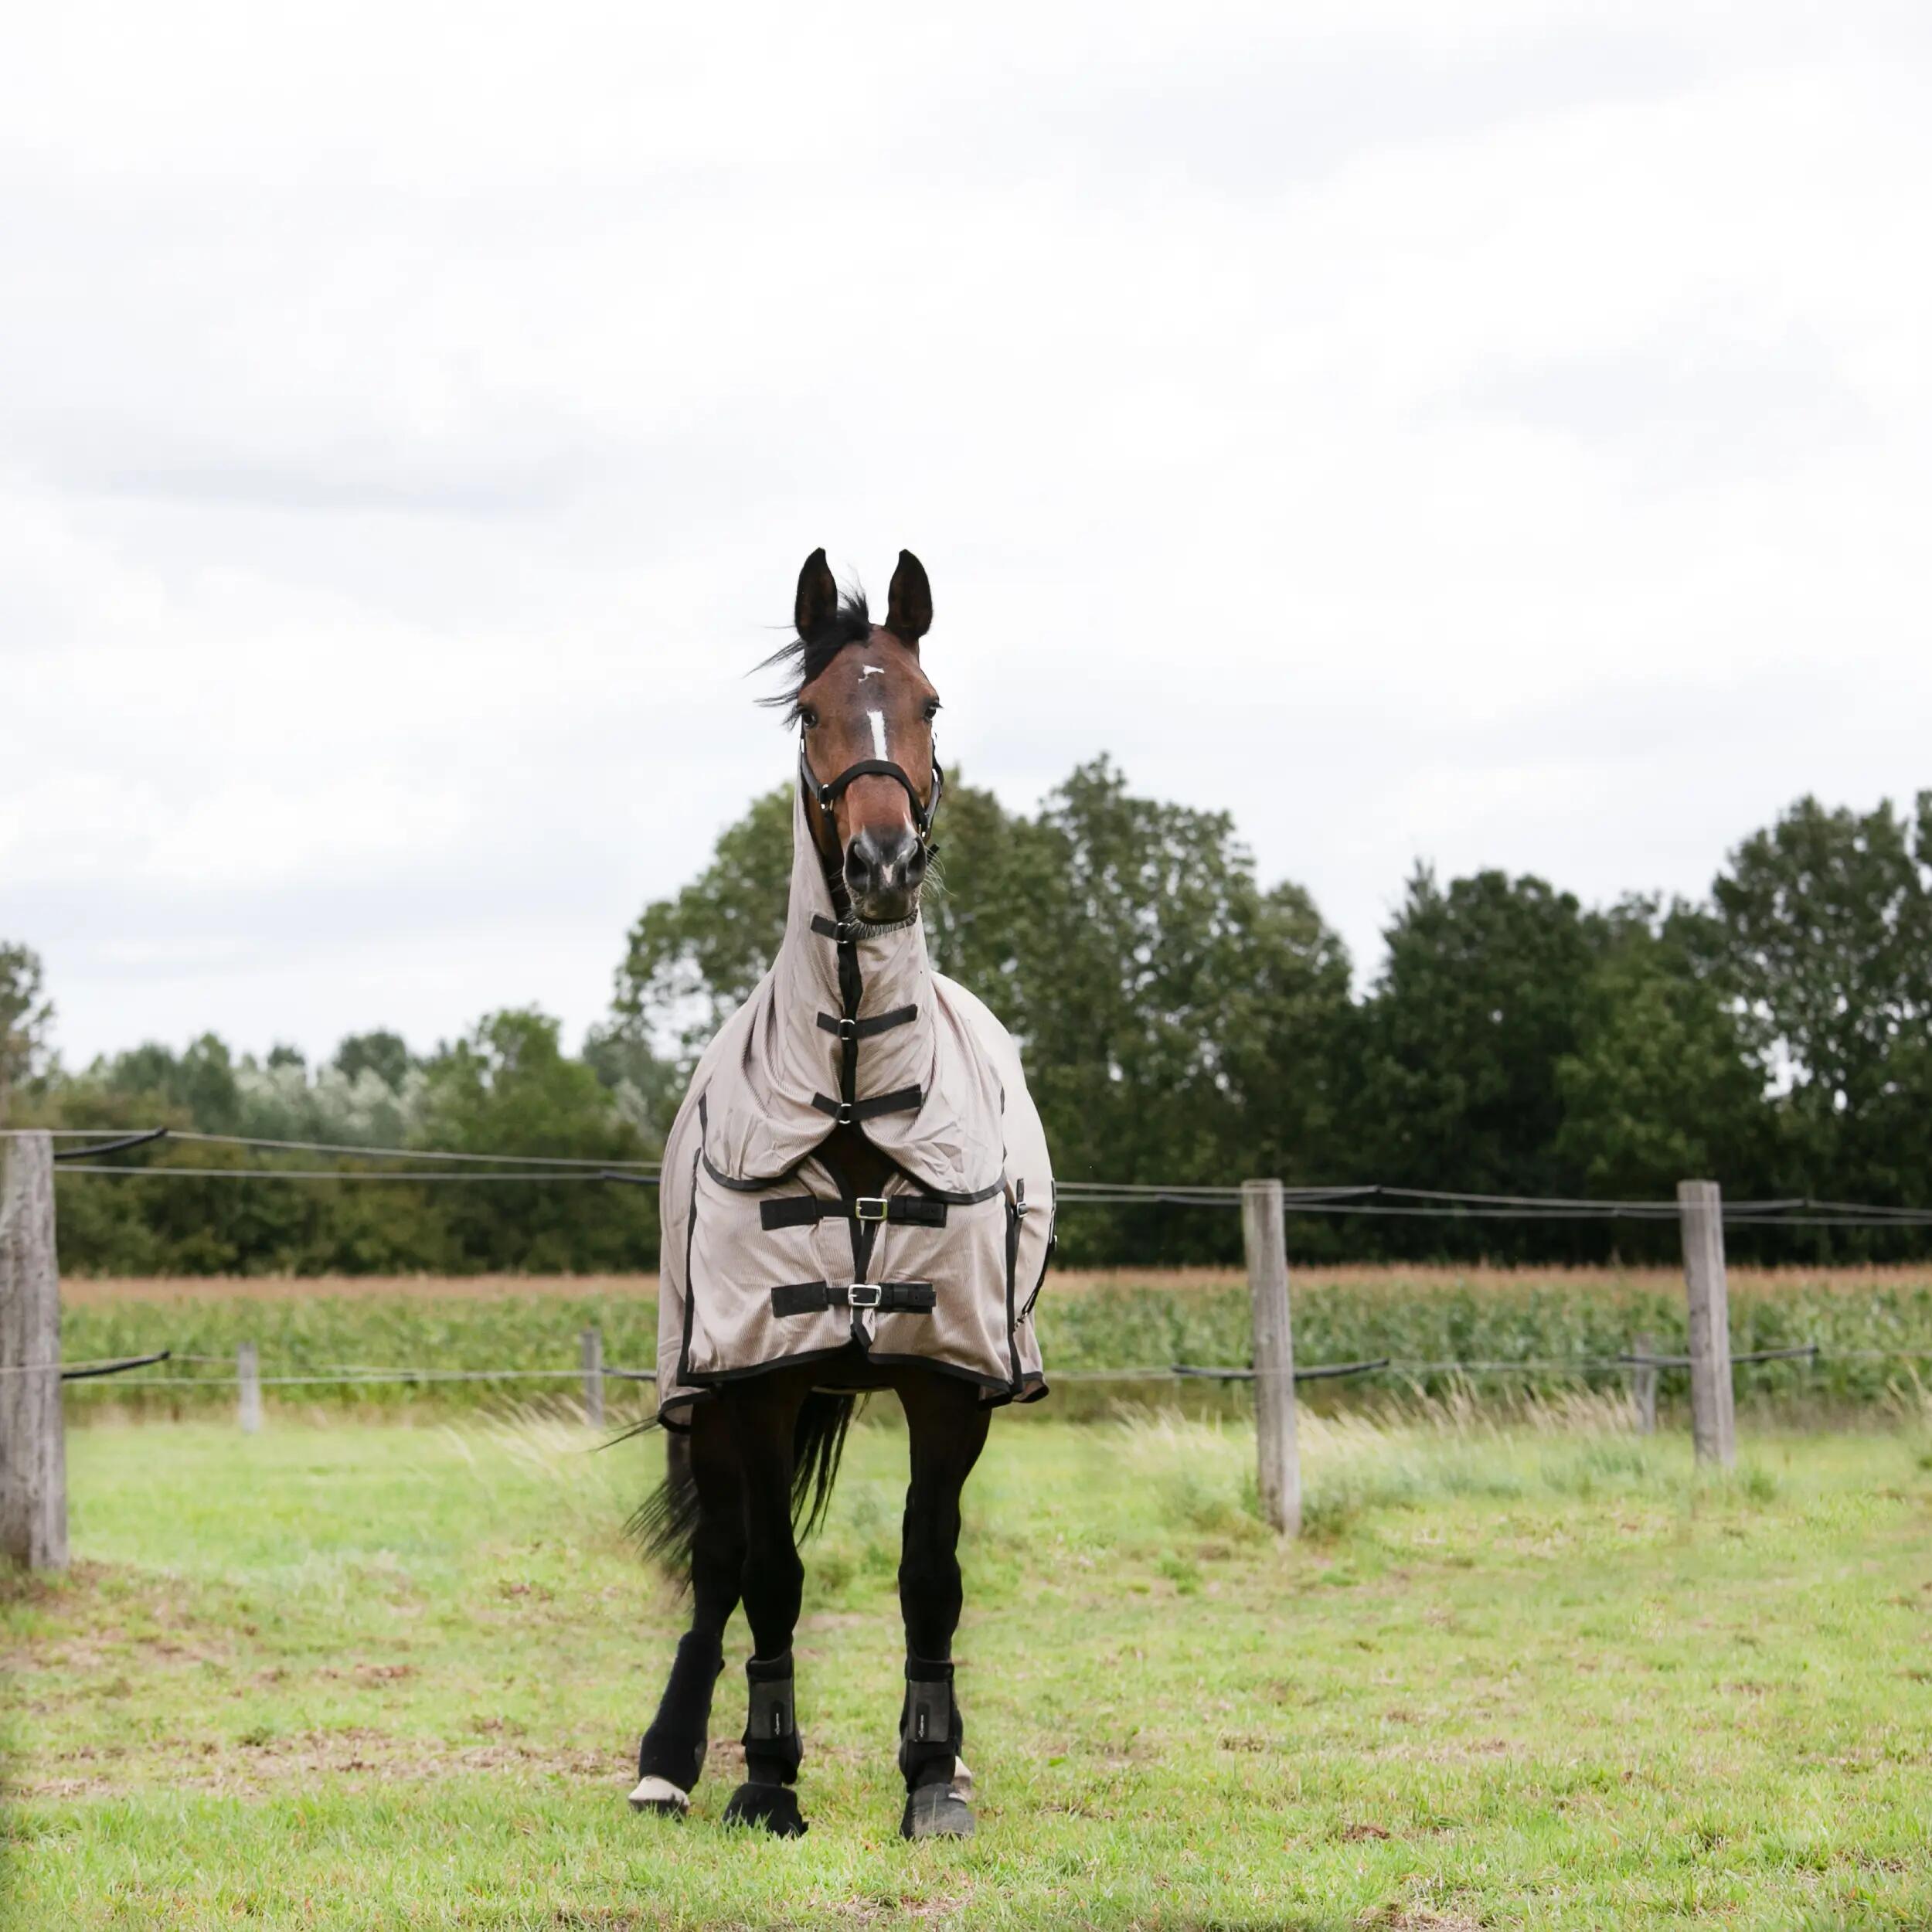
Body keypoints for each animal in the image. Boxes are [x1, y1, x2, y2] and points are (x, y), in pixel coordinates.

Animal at [627, 548, 1055, 1841]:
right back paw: (667, 1760)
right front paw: (767, 1777)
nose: (881, 866)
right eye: (811, 712)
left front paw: (935, 1771)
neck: (860, 1097)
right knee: (721, 1564)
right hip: (707, 1394)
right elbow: (768, 1573)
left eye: (929, 704)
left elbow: (931, 1572)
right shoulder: (758, 1380)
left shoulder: (951, 1384)